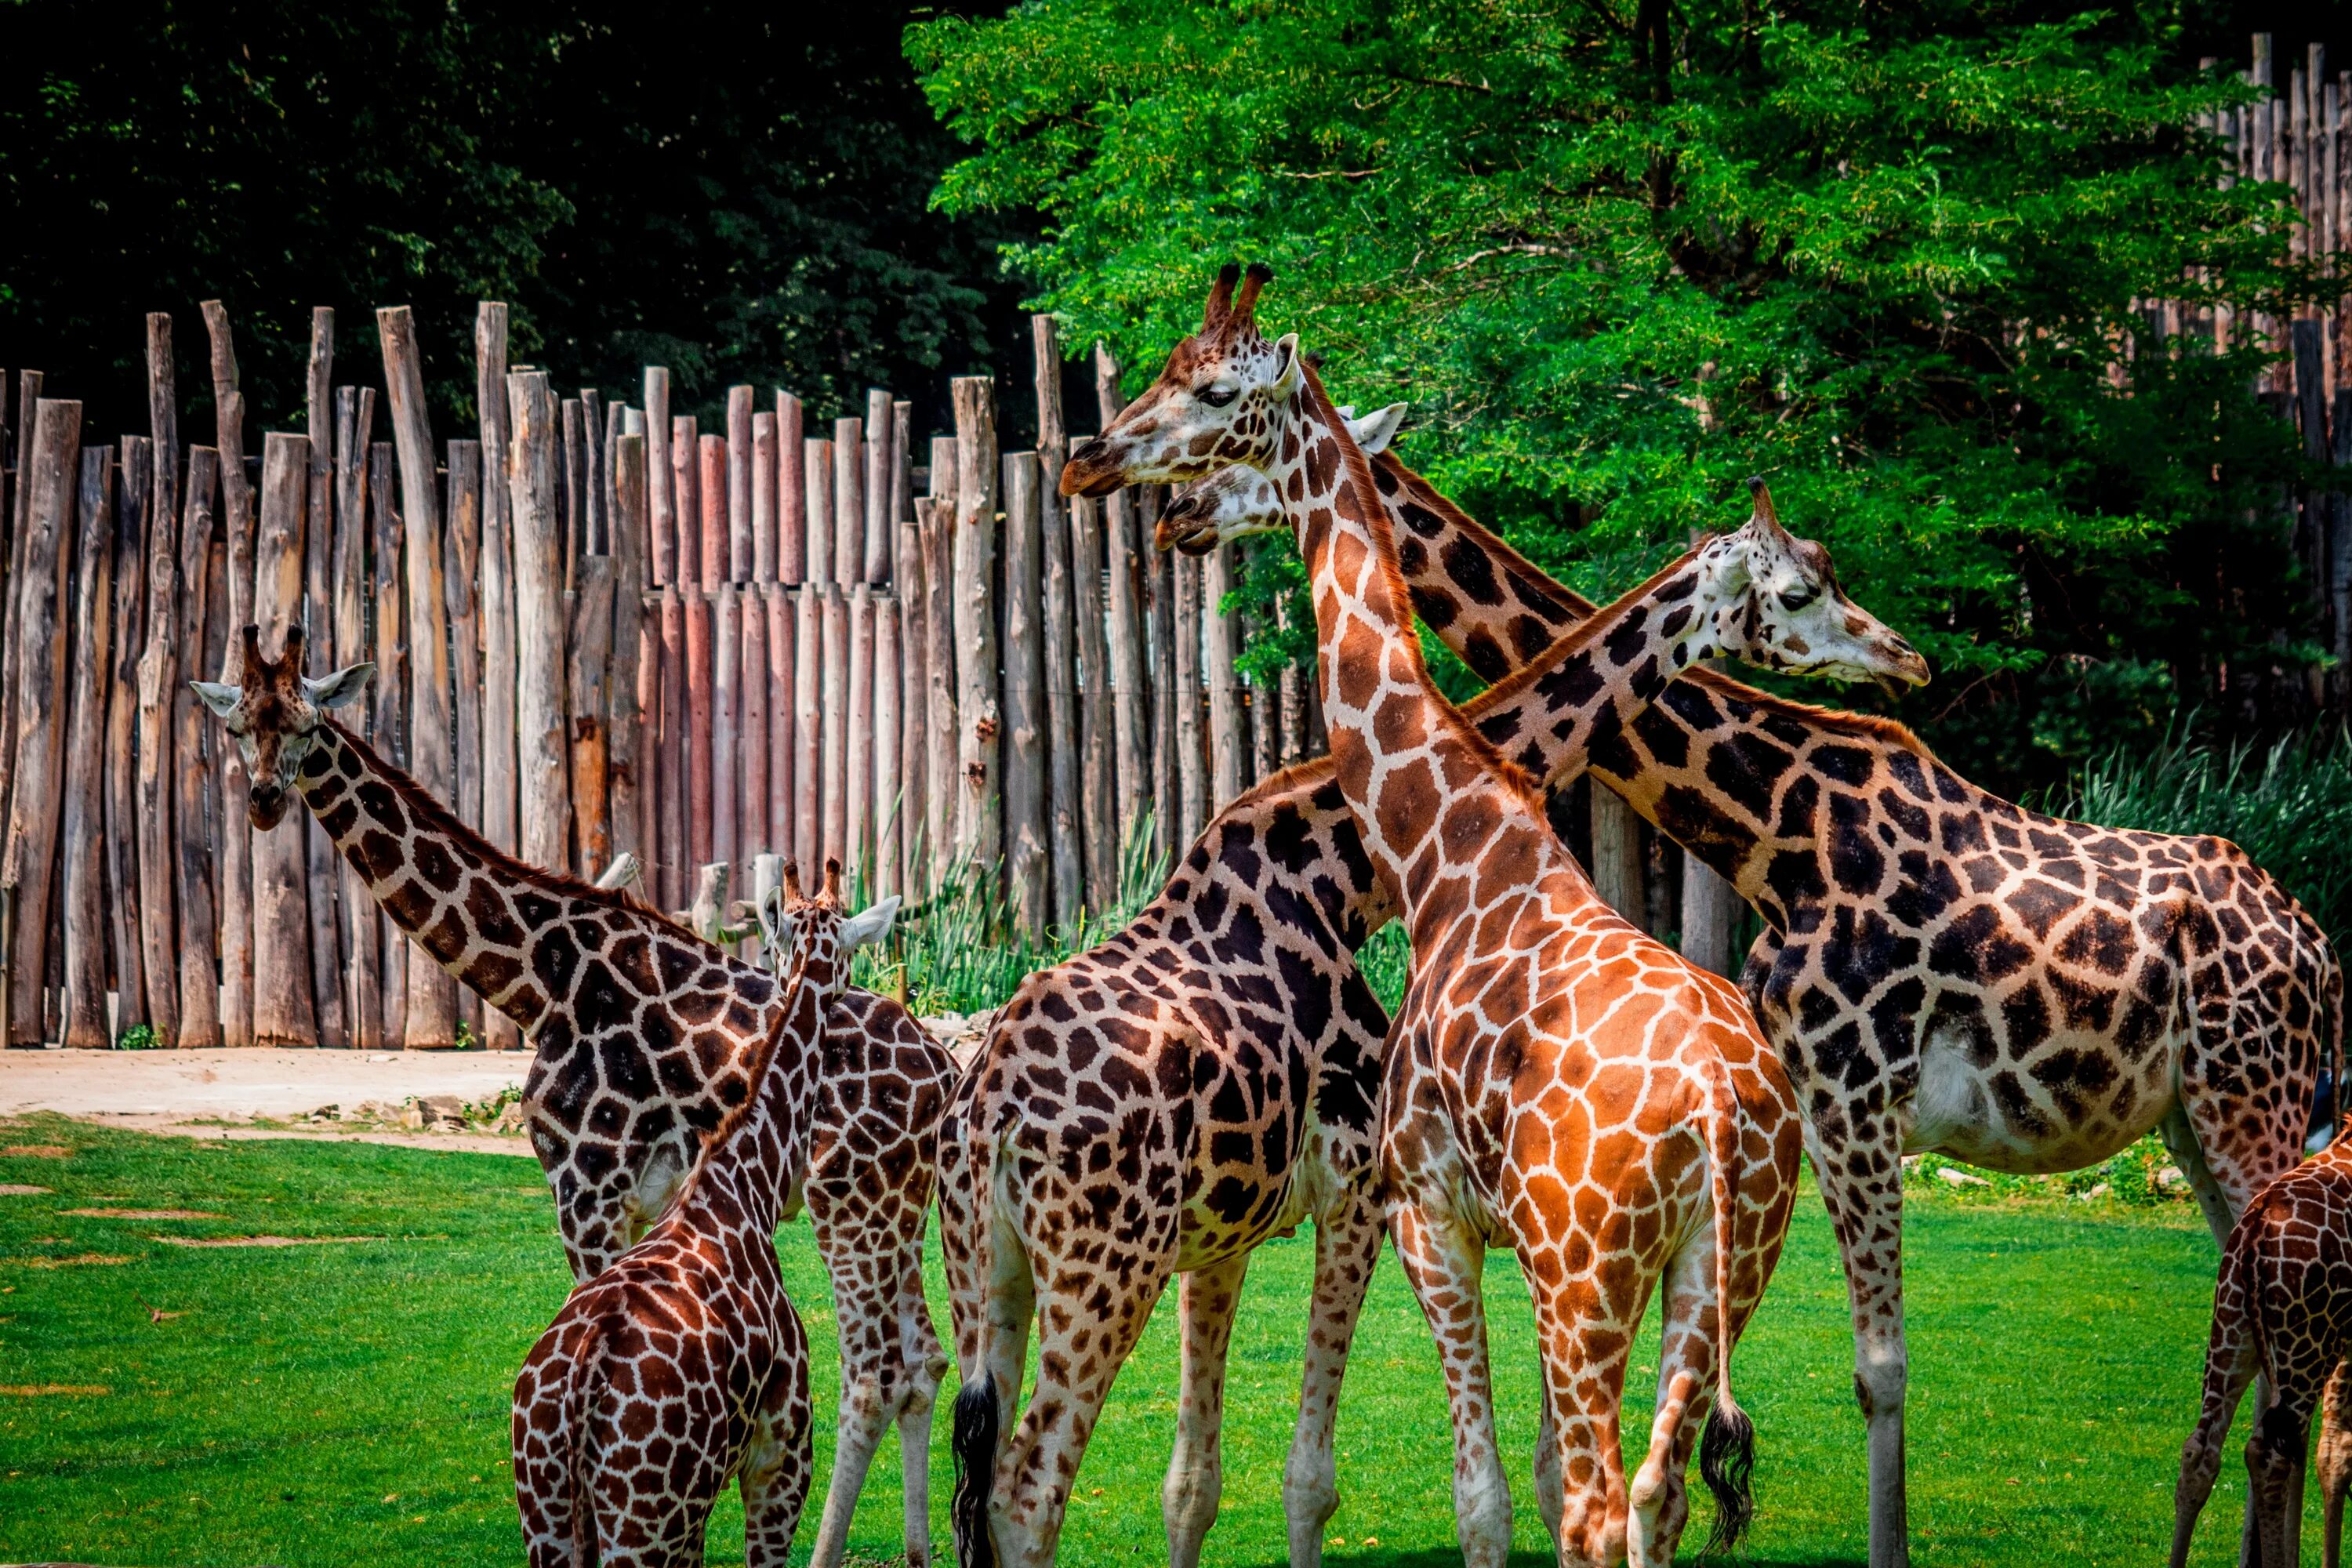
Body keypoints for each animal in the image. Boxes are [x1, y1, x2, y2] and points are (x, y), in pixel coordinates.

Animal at [1068, 263, 1947, 1561]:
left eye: (1213, 389)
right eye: (1175, 368)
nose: (1092, 461)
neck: (1446, 836)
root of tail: (1724, 1112)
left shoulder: (1427, 1211)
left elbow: (1484, 1495)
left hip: (1591, 1274)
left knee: (1596, 1501)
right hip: (1721, 1266)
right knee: (1653, 1492)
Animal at [1152, 411, 2333, 1561]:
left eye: (1229, 447)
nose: (1176, 515)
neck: (1774, 831)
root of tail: (2314, 940)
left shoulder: (1853, 1096)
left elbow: (1875, 1372)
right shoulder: (1803, 1117)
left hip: (2254, 1105)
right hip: (2196, 1121)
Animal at [2164, 1142, 2352, 1568]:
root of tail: (2253, 1235)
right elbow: (2338, 1449)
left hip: (2231, 1332)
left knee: (2200, 1450)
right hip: (2306, 1345)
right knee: (2271, 1455)